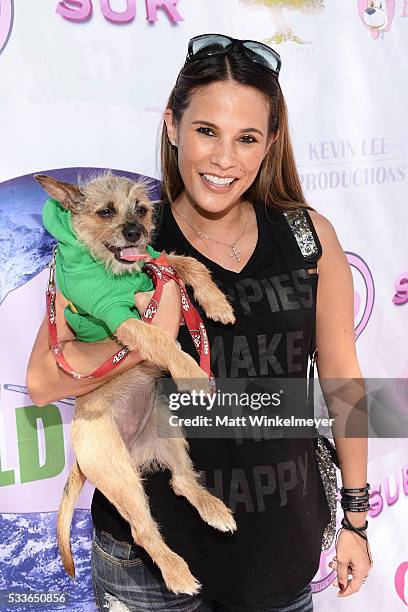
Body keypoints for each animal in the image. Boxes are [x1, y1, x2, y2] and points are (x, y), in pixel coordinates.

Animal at [37, 171, 239, 592]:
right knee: (143, 531)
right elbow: (159, 338)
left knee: (181, 482)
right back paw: (177, 572)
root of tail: (133, 447)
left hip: (169, 430)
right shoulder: (119, 316)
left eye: (142, 209)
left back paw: (214, 510)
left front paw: (216, 303)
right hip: (119, 475)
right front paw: (192, 372)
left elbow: (189, 262)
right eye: (105, 212)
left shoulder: (156, 259)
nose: (134, 232)